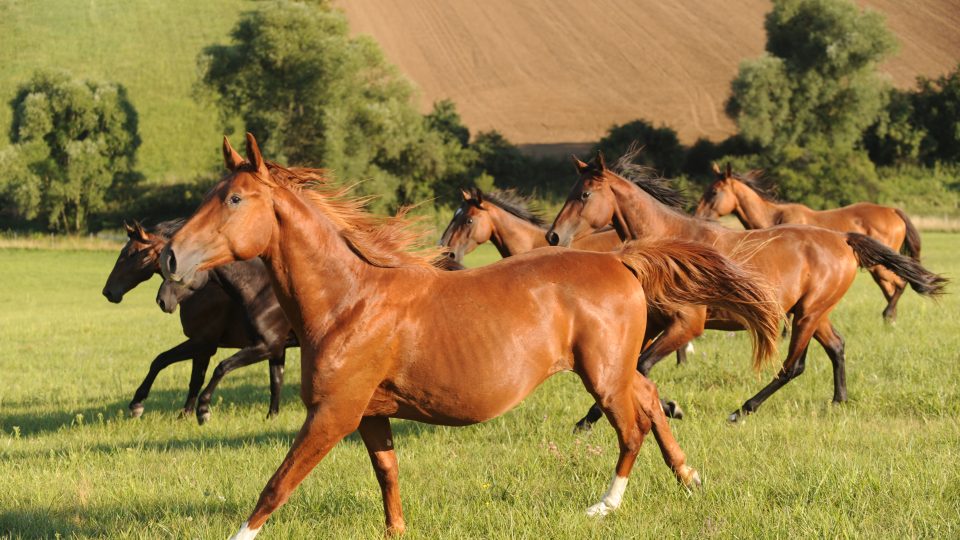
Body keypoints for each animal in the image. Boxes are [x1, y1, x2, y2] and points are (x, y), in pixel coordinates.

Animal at [692, 162, 928, 318]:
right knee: (892, 288)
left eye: (714, 192)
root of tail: (892, 210)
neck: (775, 218)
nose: (697, 215)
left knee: (900, 284)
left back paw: (888, 315)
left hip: (879, 267)